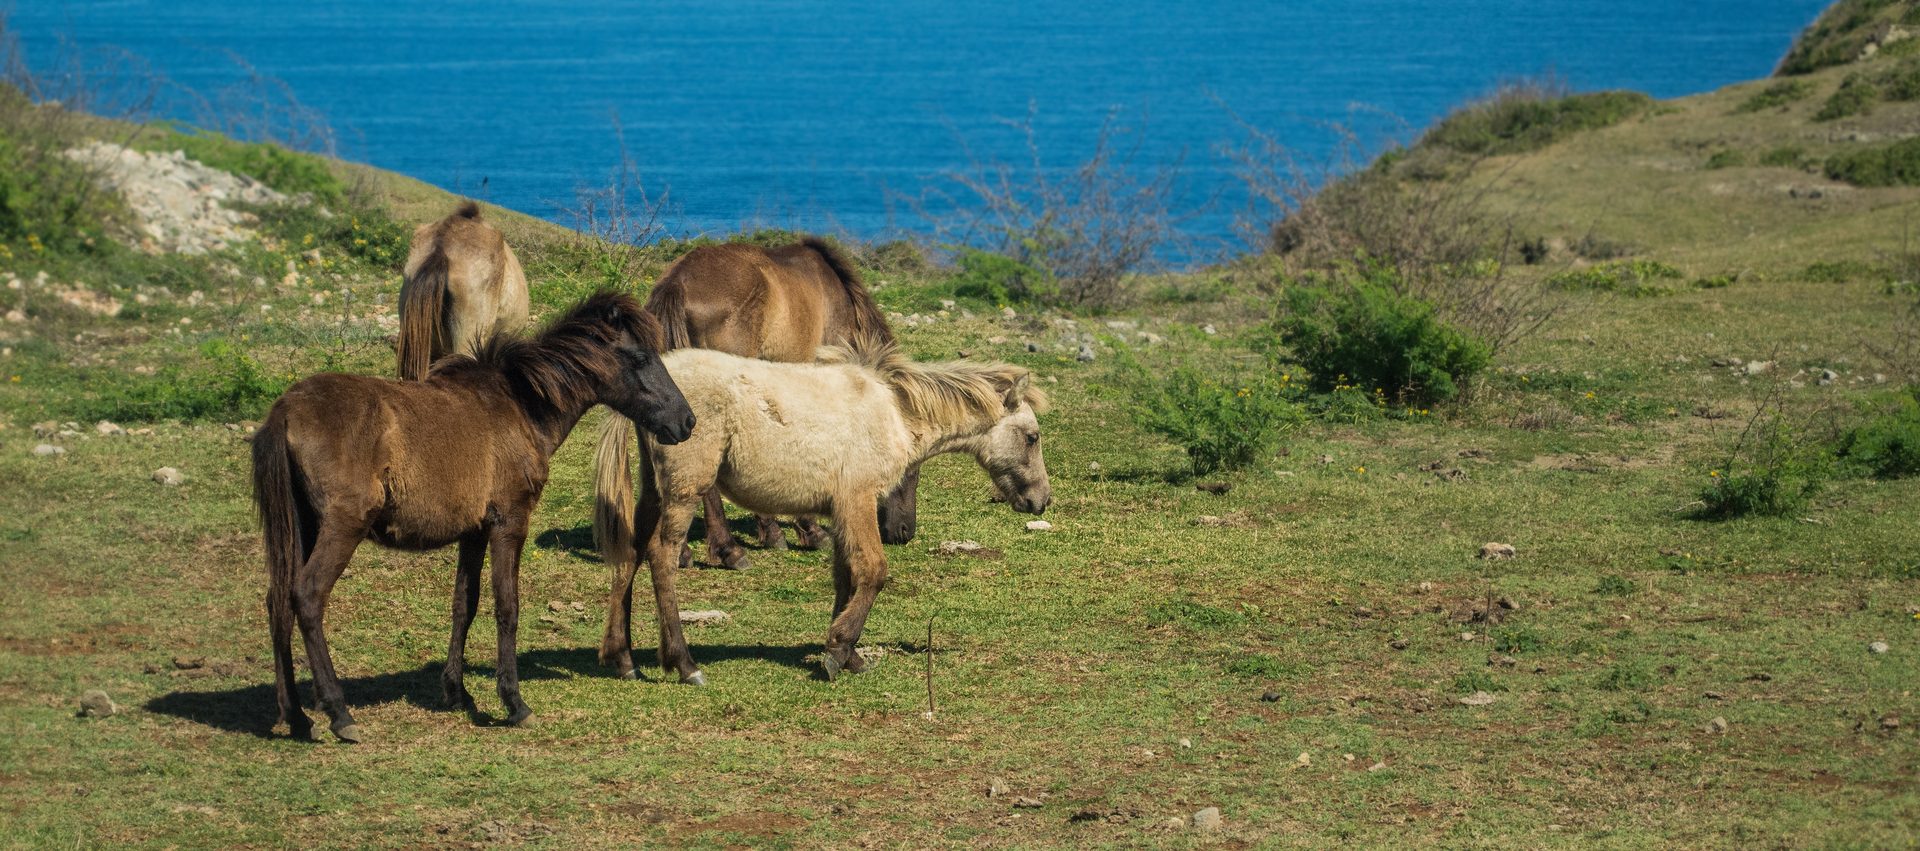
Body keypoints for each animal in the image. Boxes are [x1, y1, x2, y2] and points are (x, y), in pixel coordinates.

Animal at [252, 292, 695, 743]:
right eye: (641, 357)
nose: (686, 421)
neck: (520, 406)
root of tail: (284, 412)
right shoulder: (509, 523)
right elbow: (507, 606)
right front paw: (514, 702)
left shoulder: (474, 532)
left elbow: (465, 603)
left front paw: (457, 692)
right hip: (341, 528)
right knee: (307, 597)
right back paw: (340, 714)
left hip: (301, 529)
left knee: (278, 601)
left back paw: (295, 715)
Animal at [593, 335, 1052, 684]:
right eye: (1032, 437)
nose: (1041, 500)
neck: (893, 411)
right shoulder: (857, 500)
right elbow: (873, 571)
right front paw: (838, 651)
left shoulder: (840, 511)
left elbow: (845, 577)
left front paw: (848, 655)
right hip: (685, 490)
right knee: (661, 556)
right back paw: (684, 663)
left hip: (655, 492)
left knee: (631, 553)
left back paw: (622, 659)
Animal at [597, 237, 922, 573]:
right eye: (912, 467)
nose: (904, 531)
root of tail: (677, 284)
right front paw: (808, 529)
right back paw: (730, 549)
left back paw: (683, 550)